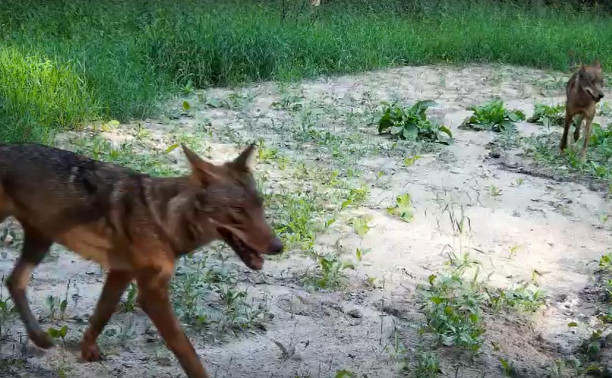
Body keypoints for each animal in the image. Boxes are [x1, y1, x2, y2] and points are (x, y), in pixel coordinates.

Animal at [0, 142, 282, 378]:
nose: (279, 247)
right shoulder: (151, 293)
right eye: (238, 211)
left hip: (41, 241)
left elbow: (100, 316)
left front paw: (87, 350)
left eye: (260, 206)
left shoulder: (121, 272)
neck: (165, 220)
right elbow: (185, 349)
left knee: (14, 281)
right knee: (14, 280)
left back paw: (39, 338)